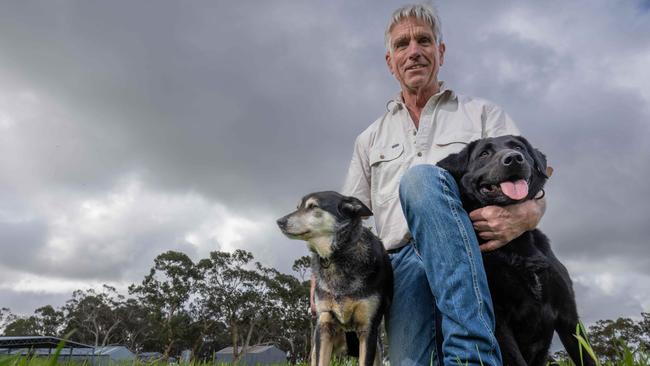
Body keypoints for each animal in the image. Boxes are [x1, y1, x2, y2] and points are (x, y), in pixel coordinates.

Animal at [274, 192, 390, 366]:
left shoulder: (368, 329)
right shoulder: (324, 325)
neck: (337, 255)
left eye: (313, 206)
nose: (279, 221)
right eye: (298, 207)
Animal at [436, 136, 592, 366]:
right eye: (484, 154)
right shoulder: (498, 321)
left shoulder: (569, 317)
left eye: (518, 147)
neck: (517, 244)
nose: (514, 158)